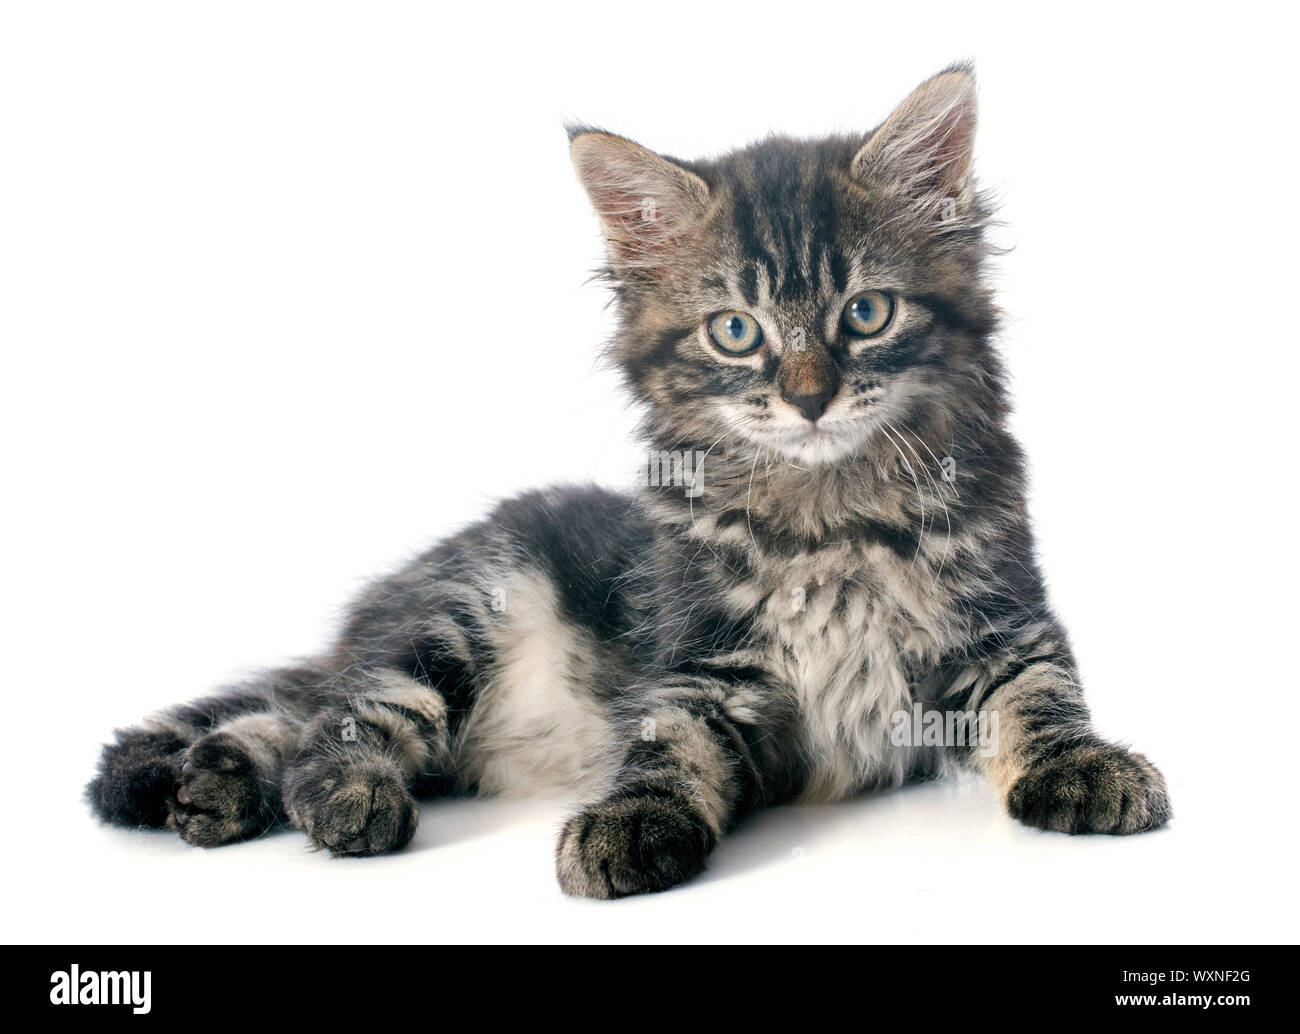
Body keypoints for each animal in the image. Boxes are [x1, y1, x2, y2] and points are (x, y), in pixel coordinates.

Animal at [91, 64, 1170, 900]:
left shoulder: (1004, 624)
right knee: (344, 713)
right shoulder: (699, 667)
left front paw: (1088, 767)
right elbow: (662, 743)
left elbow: (1044, 699)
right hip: (466, 612)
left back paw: (207, 787)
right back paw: (322, 795)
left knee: (289, 715)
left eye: (866, 312)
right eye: (735, 330)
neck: (827, 515)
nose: (809, 398)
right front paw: (629, 820)